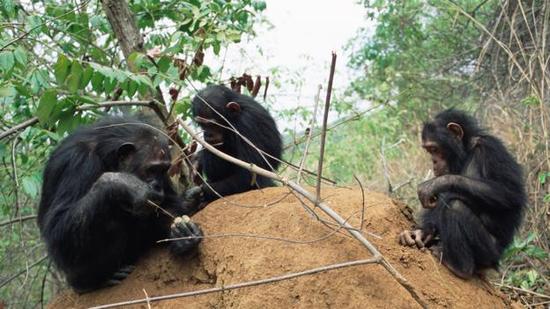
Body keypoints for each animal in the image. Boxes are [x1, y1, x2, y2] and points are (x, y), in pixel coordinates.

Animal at [37, 116, 205, 292]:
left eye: (163, 170)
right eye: (152, 169)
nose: (158, 185)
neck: (106, 156)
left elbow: (166, 206)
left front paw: (182, 234)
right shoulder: (76, 162)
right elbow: (58, 230)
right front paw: (127, 184)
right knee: (108, 220)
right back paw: (97, 281)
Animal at [398, 107, 528, 276]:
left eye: (434, 149)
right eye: (429, 151)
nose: (433, 161)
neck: (467, 149)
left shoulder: (491, 150)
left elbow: (510, 193)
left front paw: (435, 184)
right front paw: (420, 233)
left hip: (489, 252)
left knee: (456, 206)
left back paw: (459, 266)